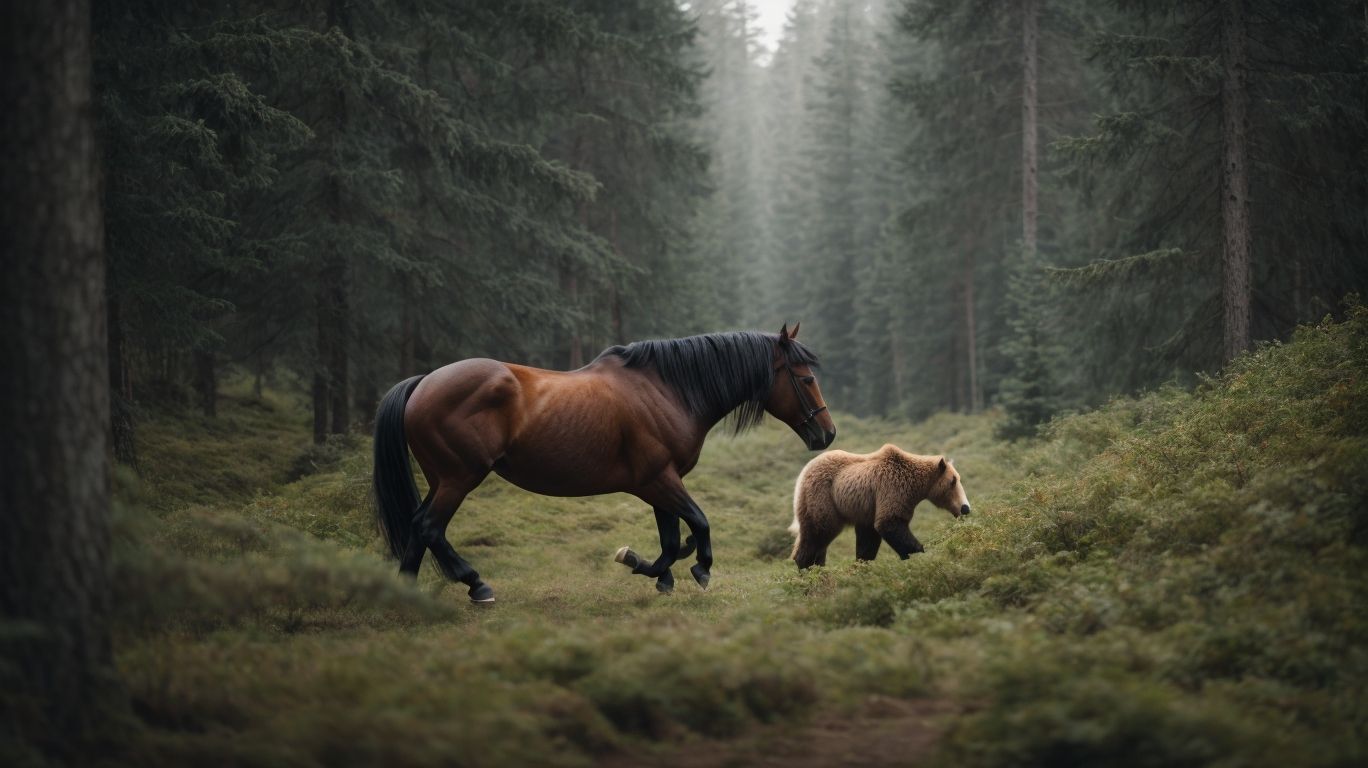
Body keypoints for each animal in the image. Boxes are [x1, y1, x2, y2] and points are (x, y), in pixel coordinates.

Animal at [372, 324, 836, 602]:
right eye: (806, 378)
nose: (827, 434)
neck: (666, 391)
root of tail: (423, 383)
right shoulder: (658, 480)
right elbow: (697, 525)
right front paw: (694, 568)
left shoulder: (661, 483)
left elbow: (672, 538)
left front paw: (654, 573)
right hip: (458, 478)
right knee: (430, 527)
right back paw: (476, 585)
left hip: (441, 479)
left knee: (418, 529)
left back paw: (407, 593)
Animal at [789, 444, 971, 568]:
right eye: (953, 481)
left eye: (957, 479)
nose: (965, 508)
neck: (916, 487)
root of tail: (803, 473)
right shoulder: (892, 488)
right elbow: (890, 523)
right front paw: (920, 552)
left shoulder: (868, 510)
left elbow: (868, 541)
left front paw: (862, 564)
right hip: (822, 498)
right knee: (817, 533)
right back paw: (807, 569)